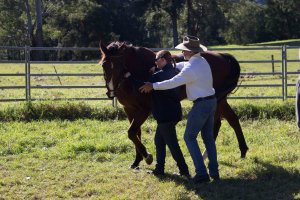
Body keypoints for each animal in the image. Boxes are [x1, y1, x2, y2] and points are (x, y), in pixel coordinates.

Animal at [99, 41, 247, 169]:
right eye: (104, 65)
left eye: (119, 66)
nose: (111, 92)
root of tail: (223, 56)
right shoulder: (129, 109)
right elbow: (136, 133)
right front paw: (137, 160)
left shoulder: (144, 110)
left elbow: (131, 132)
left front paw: (147, 156)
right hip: (220, 99)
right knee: (232, 119)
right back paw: (241, 151)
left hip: (217, 98)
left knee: (219, 123)